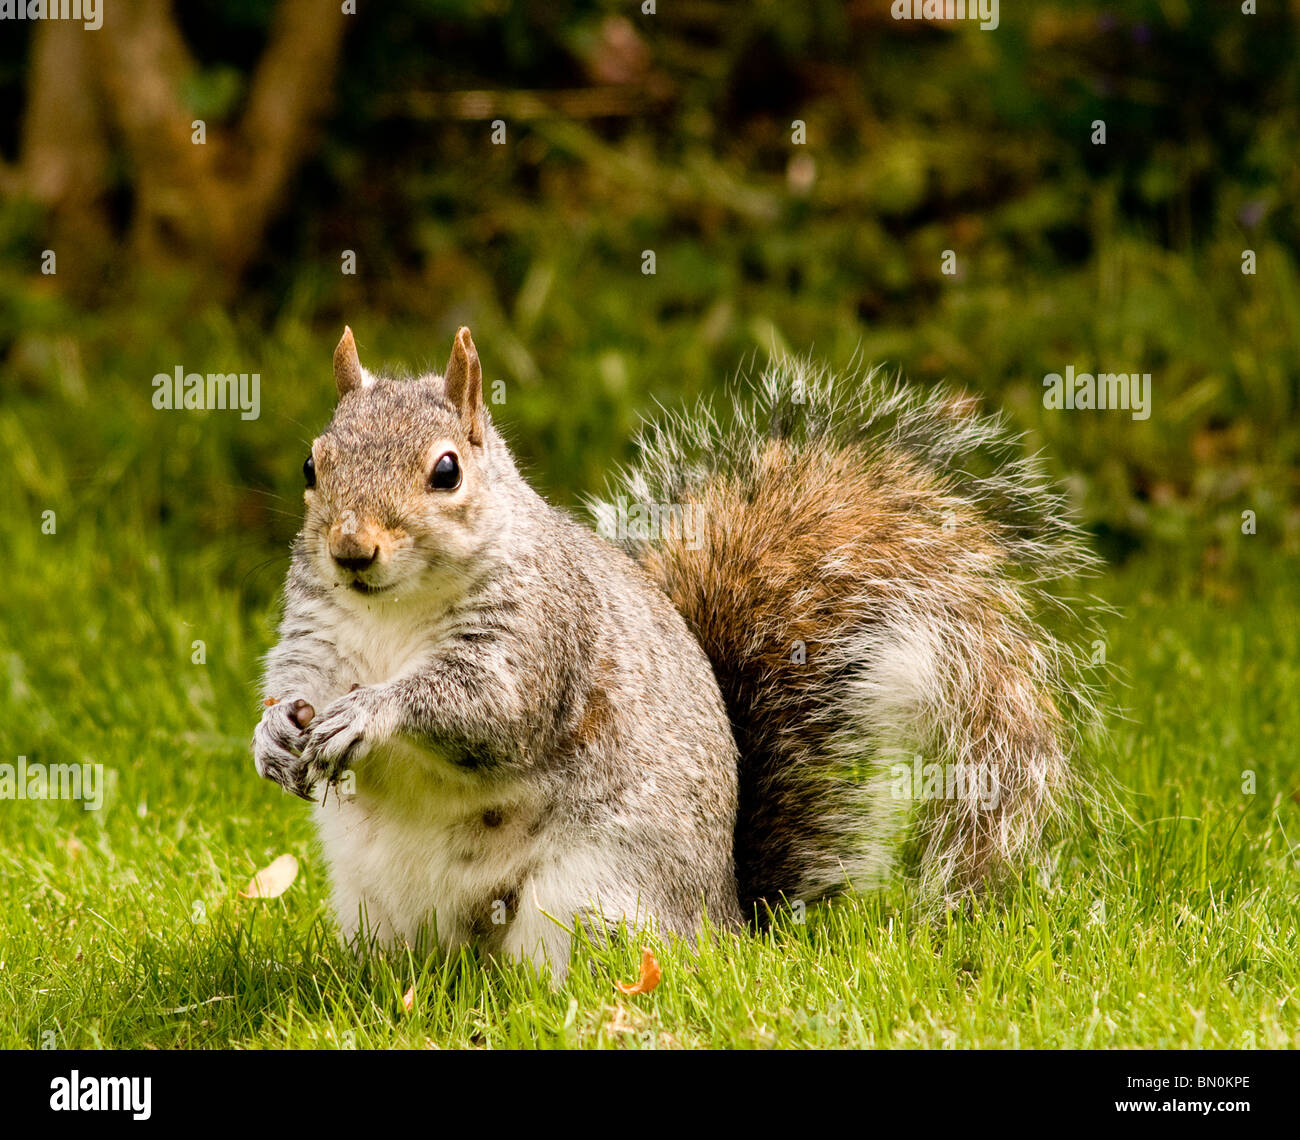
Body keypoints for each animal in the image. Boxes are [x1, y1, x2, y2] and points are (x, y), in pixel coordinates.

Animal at [250, 324, 1097, 972]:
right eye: (312, 464)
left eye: (447, 471)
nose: (351, 551)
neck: (392, 610)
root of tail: (729, 923)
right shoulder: (317, 632)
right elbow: (295, 678)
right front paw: (272, 735)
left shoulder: (540, 635)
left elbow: (486, 709)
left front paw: (371, 712)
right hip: (377, 906)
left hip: (590, 899)